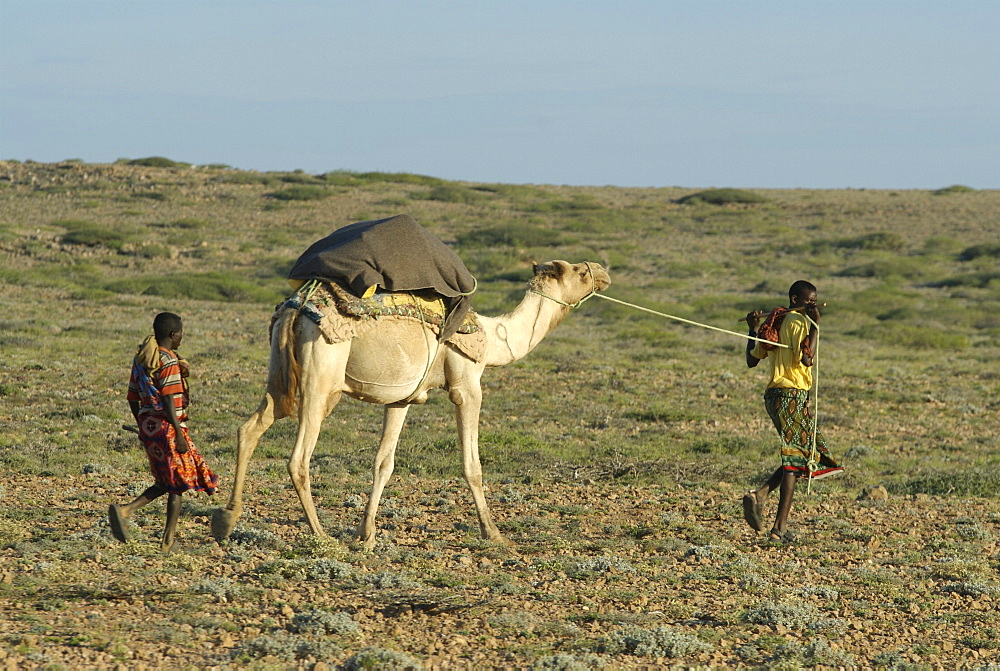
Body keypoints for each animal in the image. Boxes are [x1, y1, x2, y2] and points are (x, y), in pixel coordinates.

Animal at [213, 260, 608, 548]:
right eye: (579, 270)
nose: (603, 271)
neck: (495, 340)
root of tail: (295, 310)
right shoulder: (467, 383)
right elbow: (472, 465)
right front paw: (494, 533)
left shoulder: (401, 397)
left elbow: (383, 463)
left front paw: (367, 534)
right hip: (321, 376)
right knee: (299, 457)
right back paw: (320, 534)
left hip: (280, 374)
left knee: (250, 428)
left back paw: (226, 520)